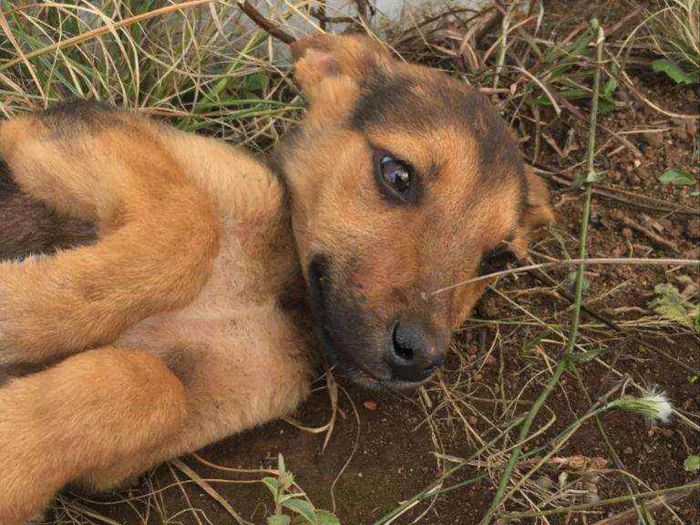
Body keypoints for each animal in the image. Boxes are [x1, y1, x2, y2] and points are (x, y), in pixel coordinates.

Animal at [0, 33, 552, 524]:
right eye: (396, 174)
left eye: (497, 258)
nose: (419, 355)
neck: (278, 290)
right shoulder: (60, 133)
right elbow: (189, 226)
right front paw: (16, 308)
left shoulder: (162, 431)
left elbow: (145, 385)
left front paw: (13, 453)